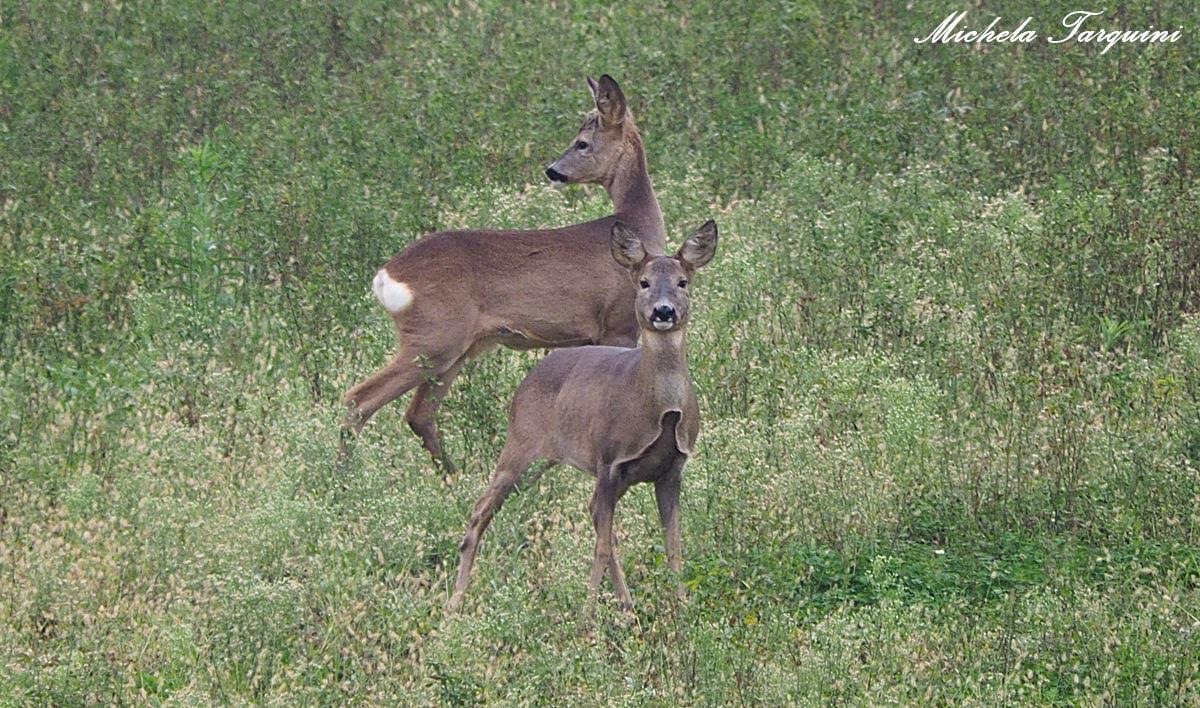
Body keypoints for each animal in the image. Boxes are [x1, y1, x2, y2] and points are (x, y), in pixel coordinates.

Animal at [342, 75, 666, 473]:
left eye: (582, 142)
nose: (553, 170)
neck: (638, 226)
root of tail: (385, 275)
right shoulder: (617, 323)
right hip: (434, 338)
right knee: (359, 400)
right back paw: (341, 480)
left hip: (455, 349)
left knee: (418, 415)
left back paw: (454, 478)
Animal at [446, 219, 718, 619]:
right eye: (643, 282)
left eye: (683, 281)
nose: (663, 311)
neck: (657, 409)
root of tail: (527, 379)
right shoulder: (608, 459)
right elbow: (602, 547)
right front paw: (586, 618)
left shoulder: (671, 468)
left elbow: (673, 546)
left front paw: (682, 609)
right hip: (521, 445)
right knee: (481, 508)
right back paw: (455, 600)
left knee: (593, 515)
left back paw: (628, 608)